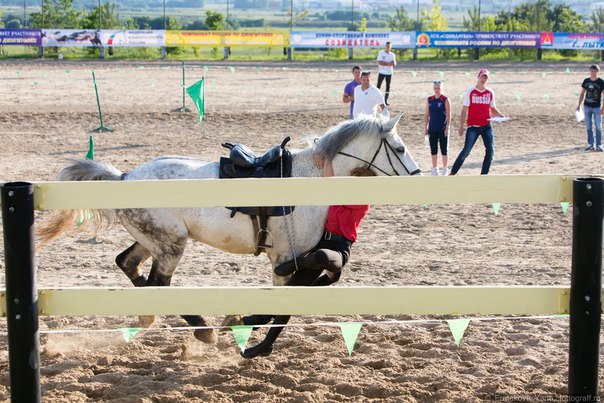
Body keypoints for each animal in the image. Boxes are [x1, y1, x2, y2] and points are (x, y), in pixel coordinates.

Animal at [37, 113, 422, 356]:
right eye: (400, 148)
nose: (417, 177)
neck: (311, 178)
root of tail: (124, 177)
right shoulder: (286, 257)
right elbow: (283, 307)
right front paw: (249, 336)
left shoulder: (298, 259)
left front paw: (244, 326)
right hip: (170, 245)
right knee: (159, 284)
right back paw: (201, 328)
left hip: (154, 241)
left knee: (127, 263)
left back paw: (154, 318)